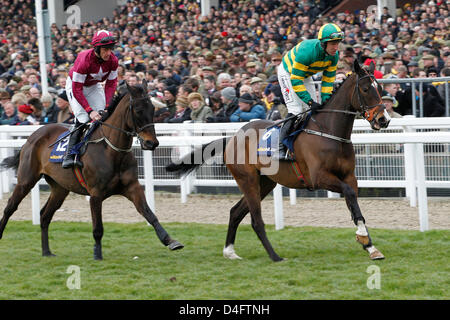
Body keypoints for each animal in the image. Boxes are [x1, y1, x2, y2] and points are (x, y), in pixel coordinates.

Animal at [0, 80, 183, 260]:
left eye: (153, 109)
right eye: (138, 110)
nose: (152, 143)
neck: (111, 151)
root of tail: (33, 136)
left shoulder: (133, 187)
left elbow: (148, 213)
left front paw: (170, 240)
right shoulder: (95, 193)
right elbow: (98, 228)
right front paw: (97, 254)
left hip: (60, 188)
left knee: (45, 215)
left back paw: (47, 251)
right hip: (26, 180)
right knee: (10, 207)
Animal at [168, 60, 390, 262]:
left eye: (380, 88)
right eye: (365, 89)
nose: (383, 119)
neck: (329, 132)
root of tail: (232, 138)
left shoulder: (349, 176)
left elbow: (354, 203)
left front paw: (369, 245)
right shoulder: (319, 178)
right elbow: (350, 195)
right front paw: (364, 239)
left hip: (265, 182)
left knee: (235, 212)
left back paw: (230, 251)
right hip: (248, 180)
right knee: (256, 220)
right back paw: (274, 256)